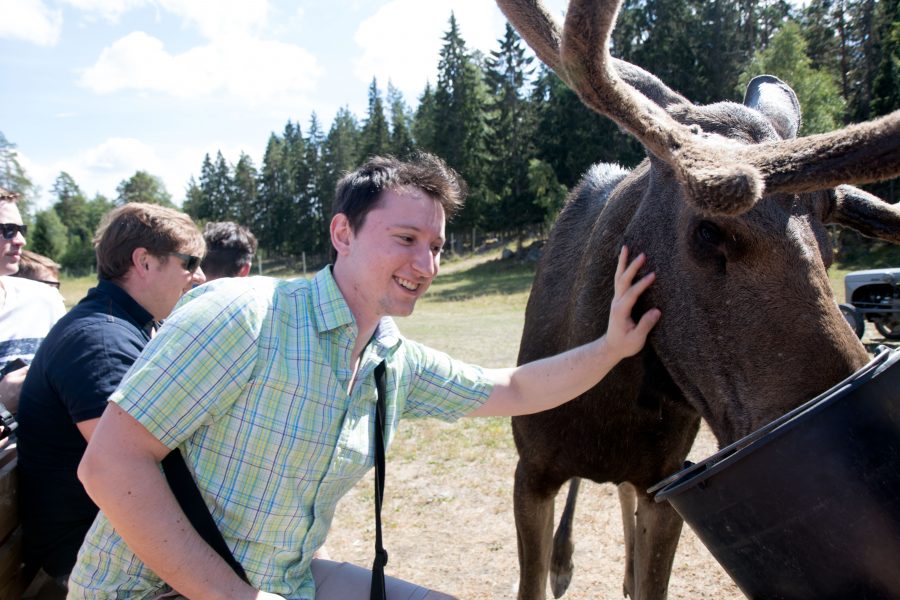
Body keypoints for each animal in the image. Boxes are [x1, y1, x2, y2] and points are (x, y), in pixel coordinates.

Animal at [496, 1, 900, 600]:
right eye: (708, 231)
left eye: (829, 249)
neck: (605, 409)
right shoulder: (531, 469)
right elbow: (530, 582)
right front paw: (557, 563)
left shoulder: (666, 486)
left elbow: (649, 578)